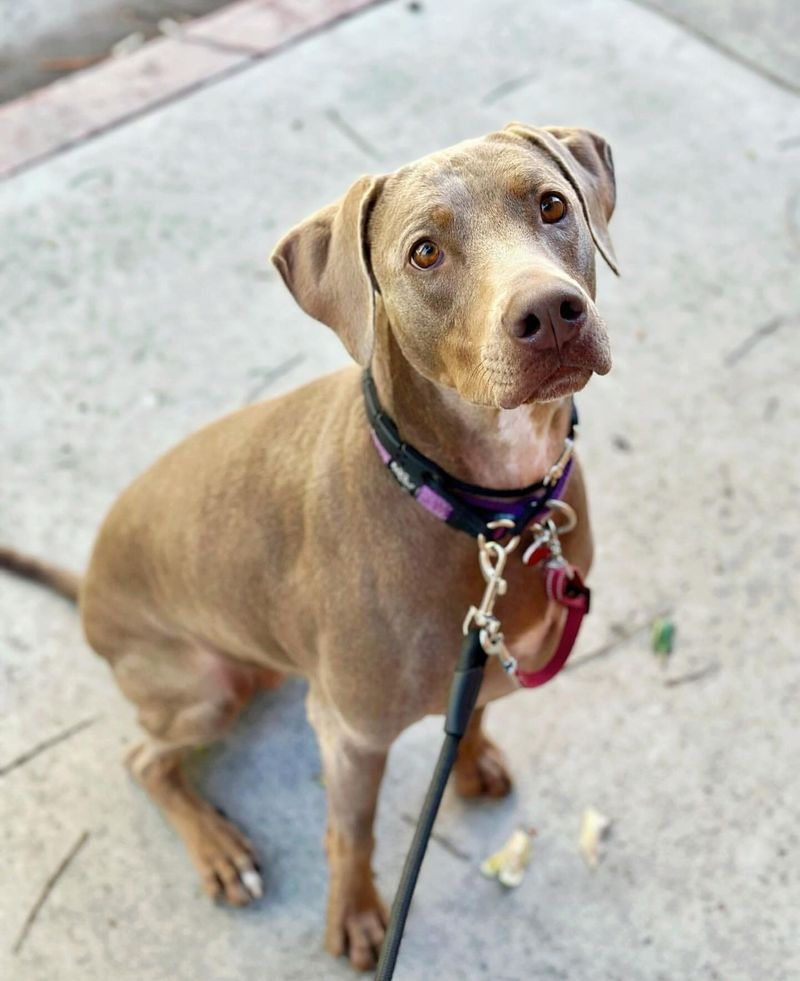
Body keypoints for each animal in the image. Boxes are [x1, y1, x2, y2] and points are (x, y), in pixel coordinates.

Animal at [0, 120, 620, 964]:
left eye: (552, 205)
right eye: (425, 252)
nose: (551, 313)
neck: (487, 515)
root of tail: (90, 582)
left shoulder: (482, 660)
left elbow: (471, 714)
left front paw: (472, 760)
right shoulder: (352, 734)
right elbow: (351, 833)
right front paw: (356, 918)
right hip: (201, 689)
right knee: (144, 759)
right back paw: (219, 850)